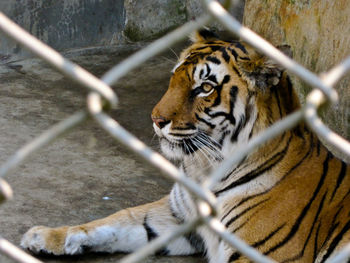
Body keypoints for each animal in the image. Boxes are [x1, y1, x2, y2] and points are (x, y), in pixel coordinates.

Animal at [20, 29, 348, 263]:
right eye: (174, 78)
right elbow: (114, 220)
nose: (156, 119)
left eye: (205, 88)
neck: (206, 168)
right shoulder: (175, 216)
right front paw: (44, 236)